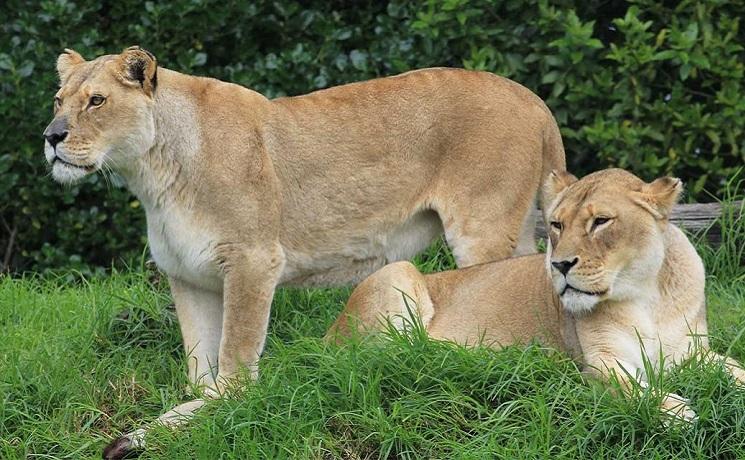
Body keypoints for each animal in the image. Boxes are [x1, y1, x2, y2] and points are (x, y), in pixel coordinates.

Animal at [42, 47, 565, 458]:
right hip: (517, 229)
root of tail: (534, 99)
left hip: (481, 230)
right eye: (58, 101)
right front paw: (191, 408)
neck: (152, 174)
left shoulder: (252, 260)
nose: (51, 137)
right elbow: (198, 361)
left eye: (96, 101)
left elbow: (235, 355)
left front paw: (224, 407)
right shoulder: (187, 276)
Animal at [328, 168, 745, 421]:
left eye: (601, 221)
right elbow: (633, 389)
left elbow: (735, 370)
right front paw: (676, 412)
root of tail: (329, 332)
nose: (559, 264)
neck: (647, 296)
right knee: (395, 356)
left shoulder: (694, 352)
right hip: (398, 273)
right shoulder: (600, 363)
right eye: (557, 225)